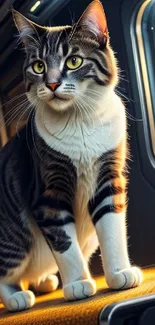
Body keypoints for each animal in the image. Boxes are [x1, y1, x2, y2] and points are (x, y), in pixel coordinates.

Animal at [0, 0, 142, 312]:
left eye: (73, 61)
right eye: (39, 66)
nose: (52, 84)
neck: (80, 122)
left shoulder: (108, 178)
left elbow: (112, 229)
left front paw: (119, 274)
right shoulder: (48, 194)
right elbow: (65, 244)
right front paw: (78, 283)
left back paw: (43, 281)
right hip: (13, 237)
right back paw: (17, 297)